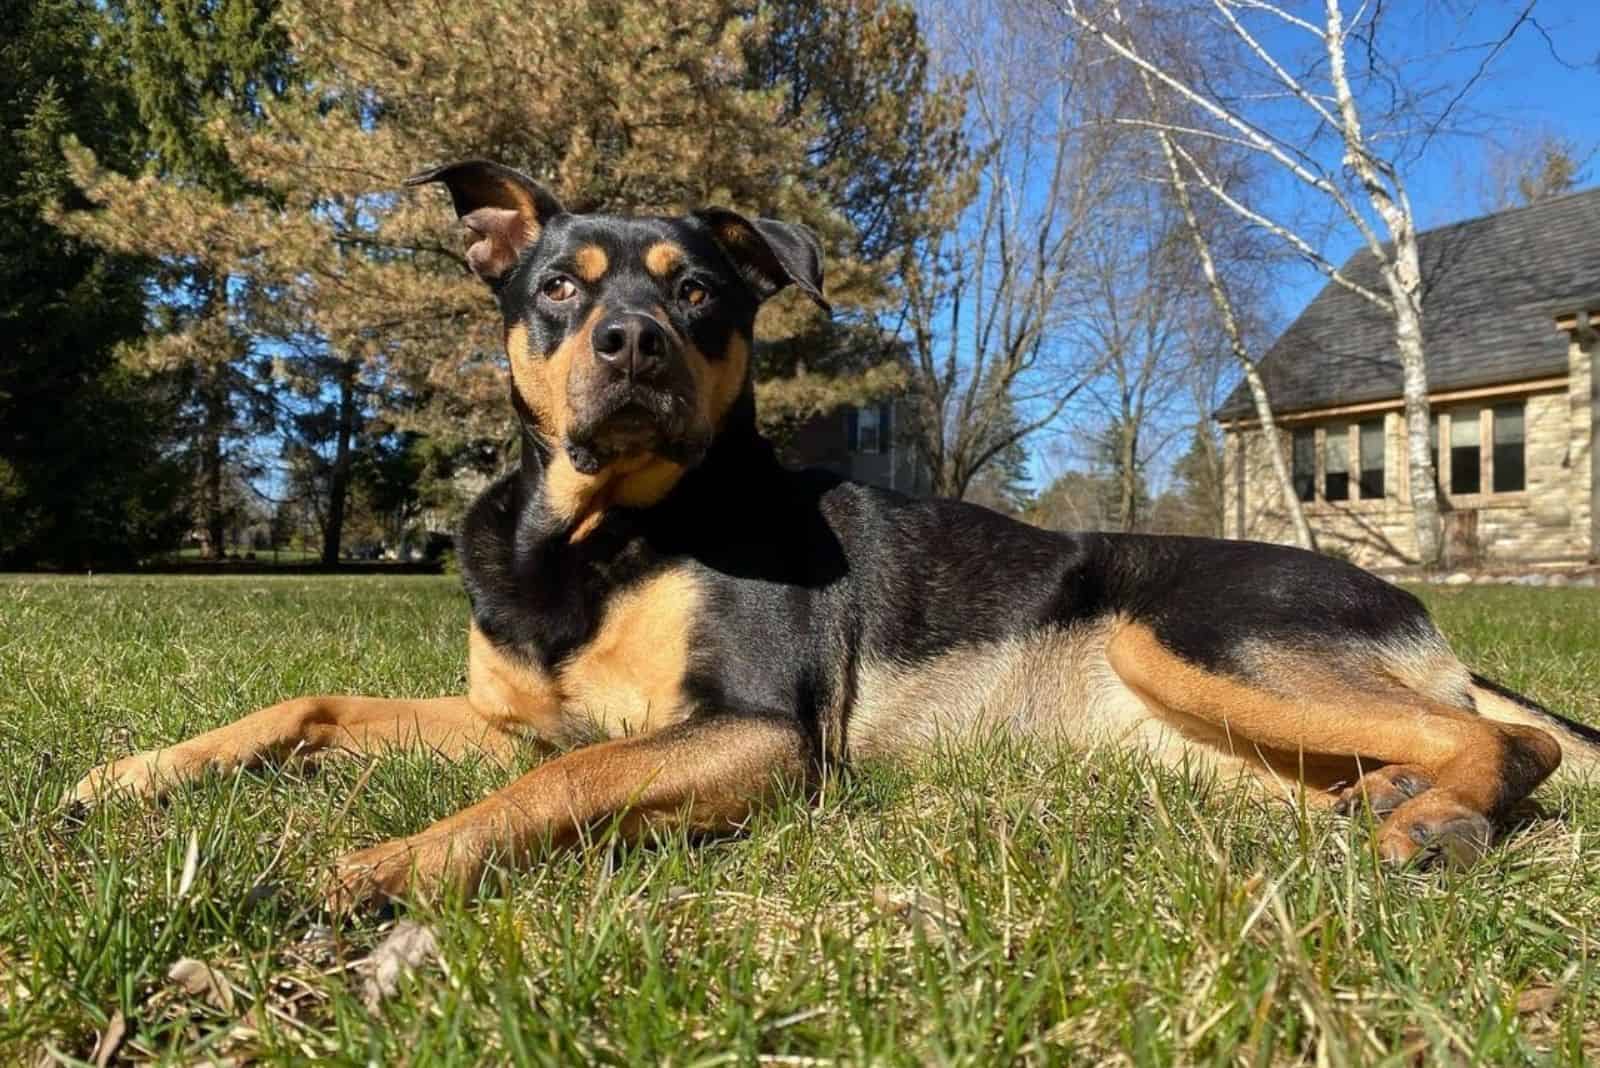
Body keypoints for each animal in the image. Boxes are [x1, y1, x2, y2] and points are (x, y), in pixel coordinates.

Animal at [75, 158, 1600, 908]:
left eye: (698, 292)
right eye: (561, 289)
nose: (631, 342)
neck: (593, 537)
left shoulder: (754, 731)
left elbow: (557, 787)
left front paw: (377, 866)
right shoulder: (518, 716)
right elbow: (314, 705)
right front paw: (132, 775)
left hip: (1190, 632)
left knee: (1509, 741)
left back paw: (1440, 819)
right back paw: (1395, 802)